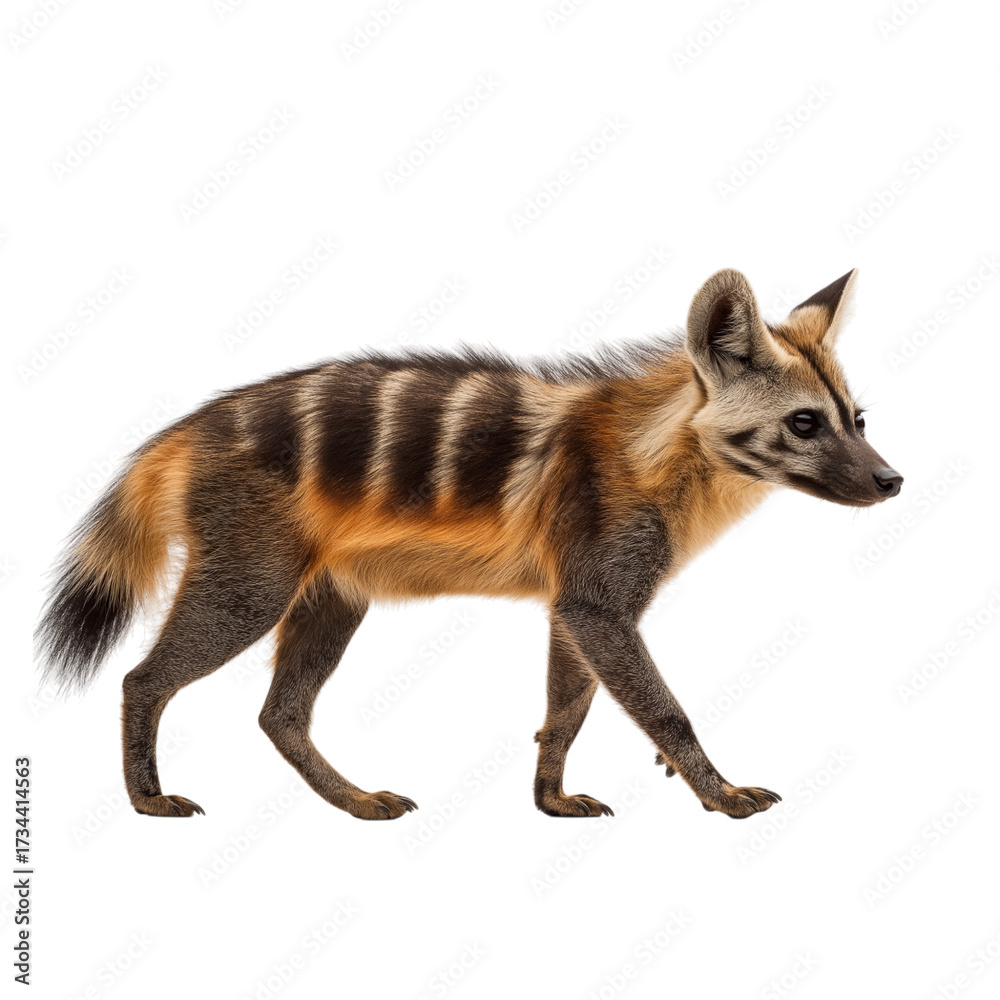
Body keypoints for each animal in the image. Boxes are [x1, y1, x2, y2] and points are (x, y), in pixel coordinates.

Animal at [36, 267, 902, 822]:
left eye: (858, 419)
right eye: (804, 423)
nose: (892, 481)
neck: (657, 447)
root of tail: (185, 428)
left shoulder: (572, 603)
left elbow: (565, 710)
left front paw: (549, 795)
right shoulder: (598, 596)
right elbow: (665, 710)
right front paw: (714, 789)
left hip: (333, 596)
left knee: (281, 717)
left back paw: (348, 798)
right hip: (251, 586)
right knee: (144, 681)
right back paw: (145, 794)